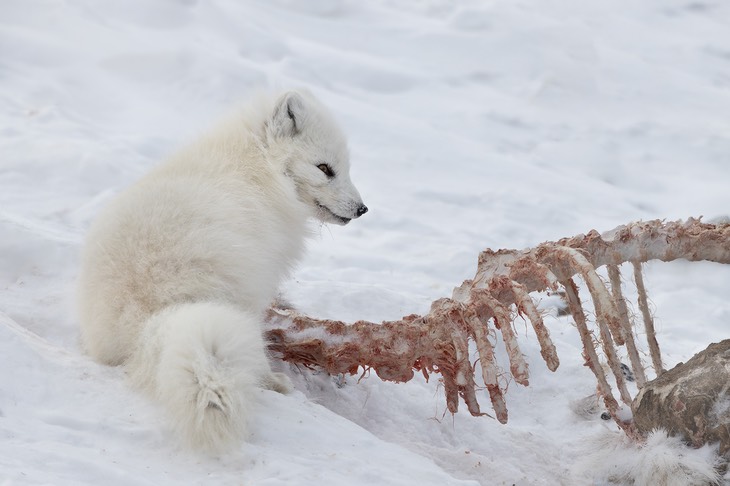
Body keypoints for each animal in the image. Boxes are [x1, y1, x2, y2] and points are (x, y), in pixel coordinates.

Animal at [77, 90, 366, 452]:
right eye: (325, 169)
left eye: (346, 168)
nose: (362, 209)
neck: (258, 167)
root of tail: (142, 319)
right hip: (237, 299)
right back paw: (274, 382)